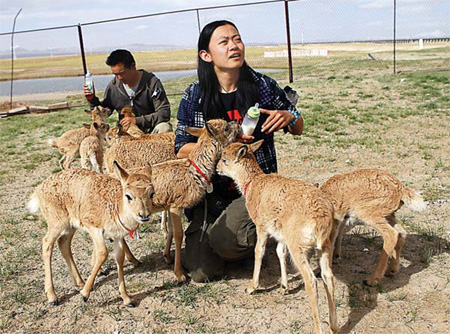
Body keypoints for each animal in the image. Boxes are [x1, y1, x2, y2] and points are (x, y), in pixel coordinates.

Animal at [28, 162, 156, 308]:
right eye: (128, 195)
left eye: (152, 193)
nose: (144, 215)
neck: (115, 206)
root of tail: (39, 189)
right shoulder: (94, 227)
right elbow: (103, 253)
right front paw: (85, 294)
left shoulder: (117, 236)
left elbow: (119, 258)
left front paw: (127, 298)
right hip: (57, 222)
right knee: (47, 244)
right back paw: (52, 296)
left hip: (71, 226)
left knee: (63, 243)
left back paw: (80, 283)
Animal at [216, 140, 340, 334]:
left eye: (224, 159)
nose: (217, 169)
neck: (252, 184)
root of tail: (322, 218)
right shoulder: (280, 233)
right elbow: (280, 252)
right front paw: (283, 287)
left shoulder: (261, 225)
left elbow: (259, 251)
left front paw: (251, 287)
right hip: (325, 246)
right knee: (328, 276)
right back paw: (334, 325)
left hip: (299, 246)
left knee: (311, 281)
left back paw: (319, 328)